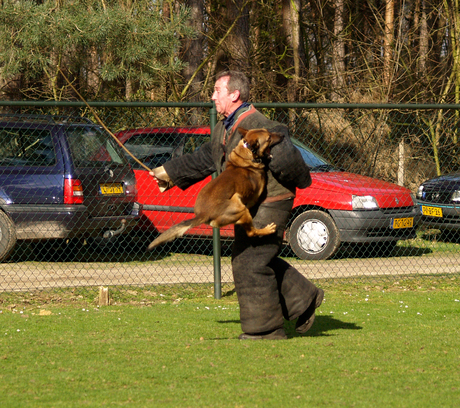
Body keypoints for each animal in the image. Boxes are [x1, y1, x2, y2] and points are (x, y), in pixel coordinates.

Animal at [147, 127, 284, 249]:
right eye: (269, 138)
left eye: (268, 131)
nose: (282, 135)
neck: (245, 156)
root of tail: (203, 214)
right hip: (239, 206)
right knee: (251, 232)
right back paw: (267, 230)